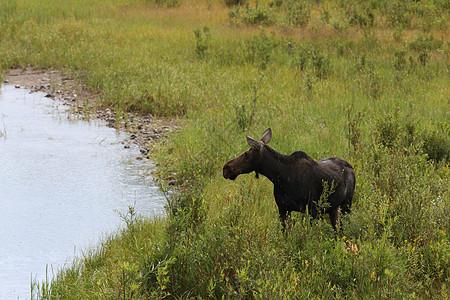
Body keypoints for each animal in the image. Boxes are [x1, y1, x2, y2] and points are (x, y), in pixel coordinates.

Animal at [223, 127, 356, 231]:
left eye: (246, 154)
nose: (226, 168)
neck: (280, 178)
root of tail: (351, 168)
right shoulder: (283, 209)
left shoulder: (312, 210)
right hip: (334, 208)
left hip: (347, 204)